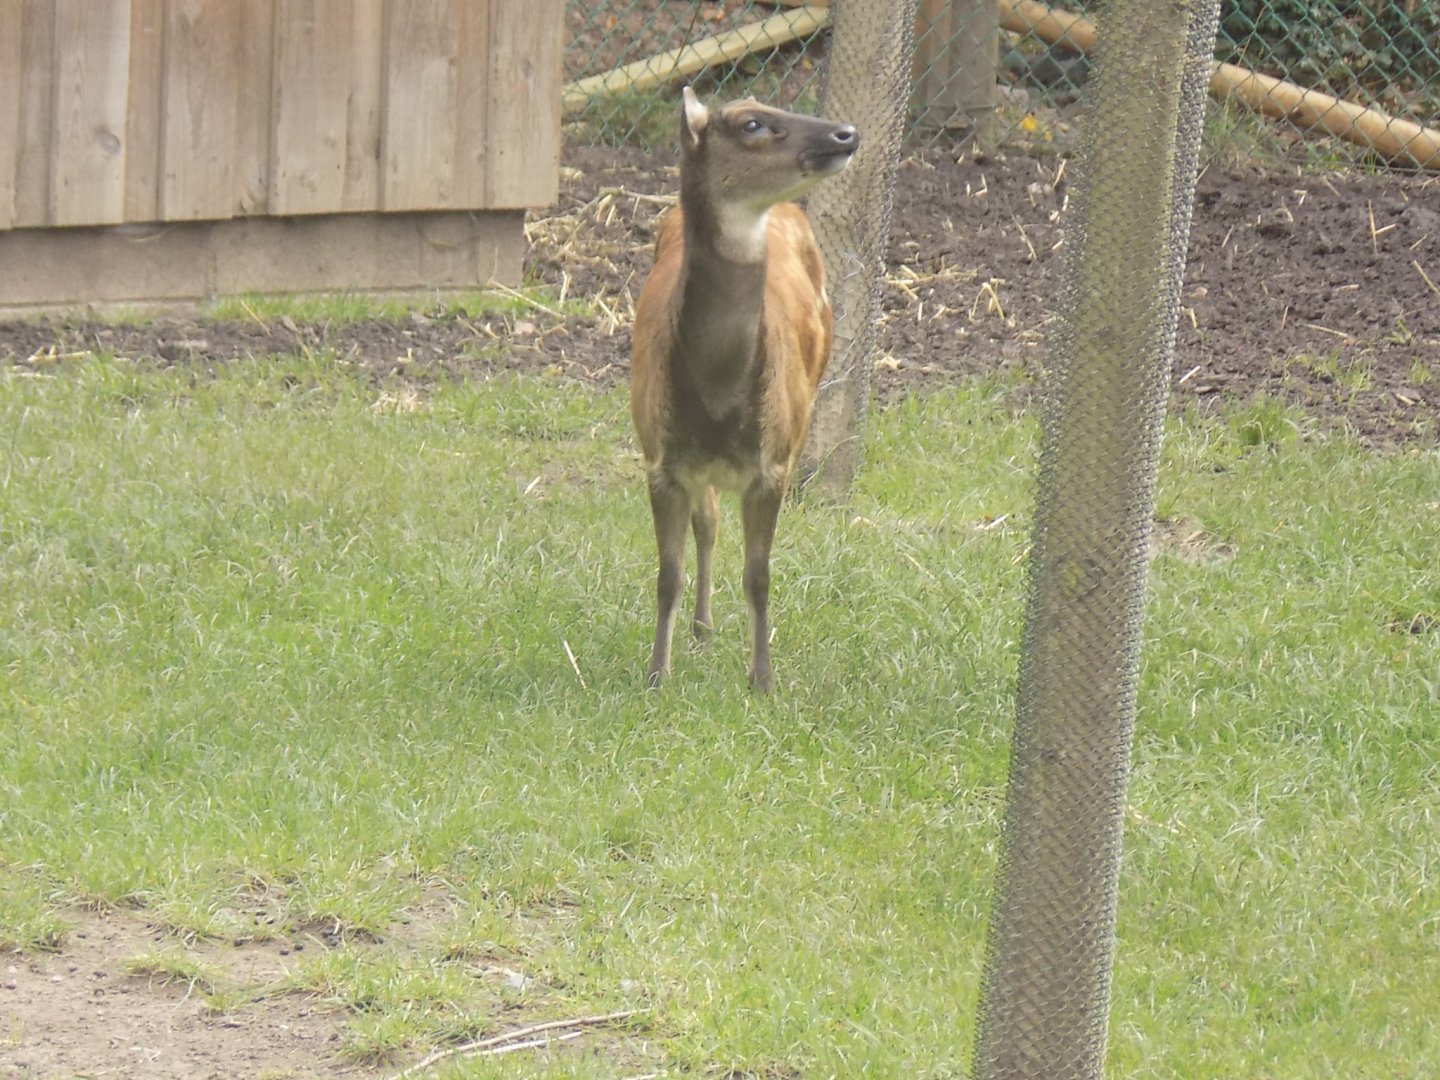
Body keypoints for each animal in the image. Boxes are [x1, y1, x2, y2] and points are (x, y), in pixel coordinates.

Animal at [629, 87, 859, 692]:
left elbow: (759, 575)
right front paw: (656, 675)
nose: (847, 133)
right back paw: (702, 627)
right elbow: (668, 574)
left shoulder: (772, 462)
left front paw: (762, 679)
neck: (716, 403)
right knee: (708, 523)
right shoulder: (660, 459)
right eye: (752, 123)